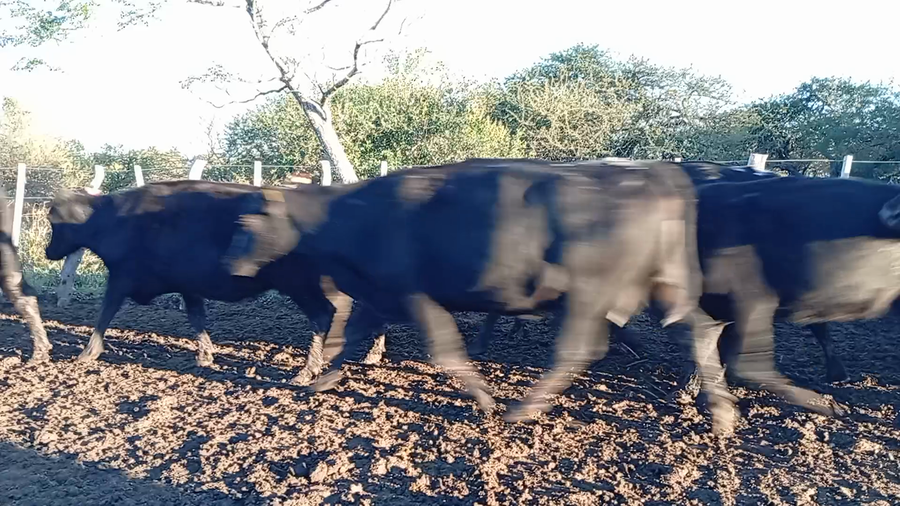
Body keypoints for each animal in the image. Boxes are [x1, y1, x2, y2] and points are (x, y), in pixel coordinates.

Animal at [43, 180, 382, 382]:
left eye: (53, 221)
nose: (47, 252)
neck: (111, 220)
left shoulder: (121, 276)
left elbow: (105, 312)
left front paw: (88, 352)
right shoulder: (187, 285)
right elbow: (197, 318)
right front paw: (206, 355)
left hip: (300, 284)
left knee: (325, 314)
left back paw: (308, 369)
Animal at [223, 157, 836, 432]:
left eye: (248, 222)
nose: (231, 262)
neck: (349, 217)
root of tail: (654, 173)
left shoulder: (415, 294)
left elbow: (445, 350)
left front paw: (486, 399)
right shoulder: (379, 294)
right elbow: (350, 342)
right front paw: (319, 381)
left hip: (589, 294)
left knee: (579, 350)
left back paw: (522, 407)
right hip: (664, 288)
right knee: (702, 331)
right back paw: (734, 413)